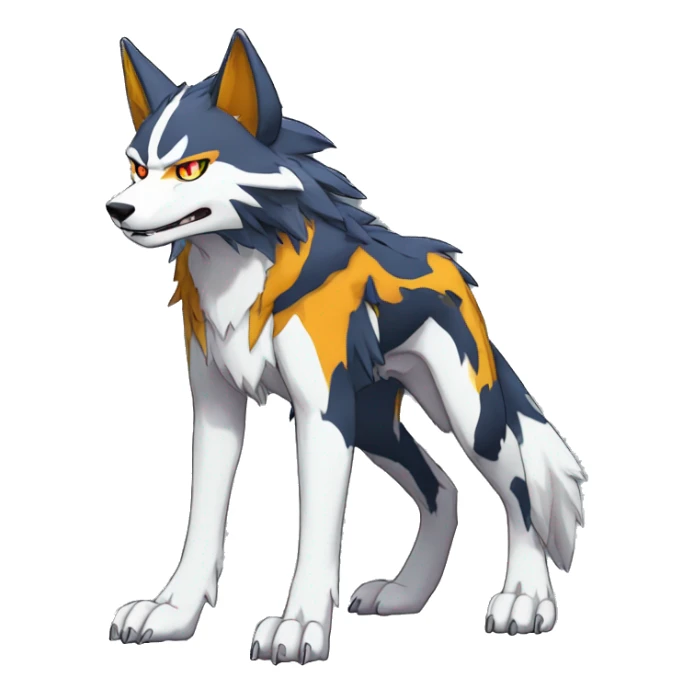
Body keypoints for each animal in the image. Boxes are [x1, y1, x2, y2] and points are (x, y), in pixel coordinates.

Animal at [105, 29, 586, 664]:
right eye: (138, 167)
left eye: (190, 169)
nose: (116, 209)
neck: (242, 268)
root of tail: (451, 269)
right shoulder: (216, 409)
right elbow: (202, 520)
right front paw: (172, 613)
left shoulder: (322, 414)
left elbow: (317, 532)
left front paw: (300, 626)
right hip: (375, 424)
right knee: (444, 490)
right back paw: (406, 594)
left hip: (468, 419)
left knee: (520, 491)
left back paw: (526, 598)